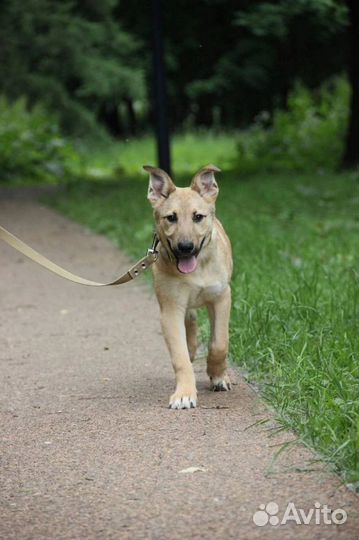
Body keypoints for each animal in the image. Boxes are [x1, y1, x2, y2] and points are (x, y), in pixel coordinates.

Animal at [144, 165, 233, 410]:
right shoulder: (170, 309)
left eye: (198, 217)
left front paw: (218, 375)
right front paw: (184, 394)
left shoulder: (222, 297)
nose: (185, 247)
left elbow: (219, 343)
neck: (198, 270)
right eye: (171, 218)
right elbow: (180, 357)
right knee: (190, 321)